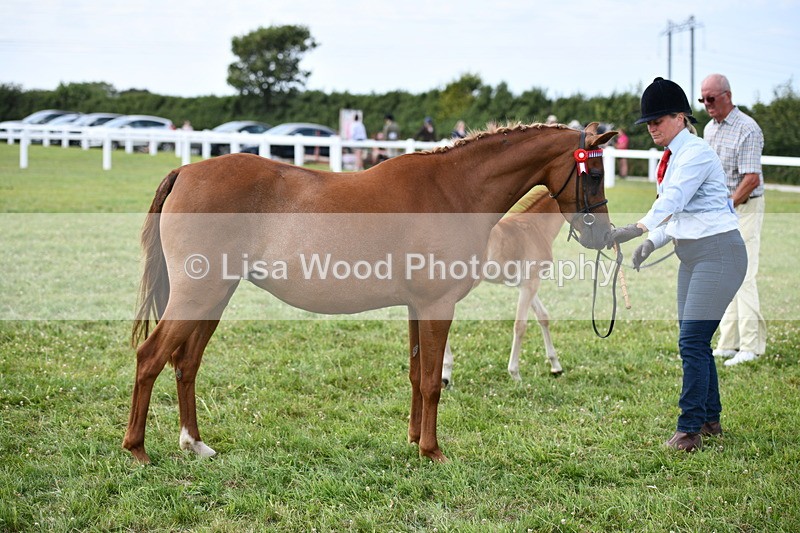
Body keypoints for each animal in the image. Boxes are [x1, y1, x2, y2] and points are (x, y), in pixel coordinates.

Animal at [442, 187, 565, 385]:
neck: (536, 227)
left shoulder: (525, 285)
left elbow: (543, 316)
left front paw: (555, 366)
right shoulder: (530, 284)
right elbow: (520, 325)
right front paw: (515, 373)